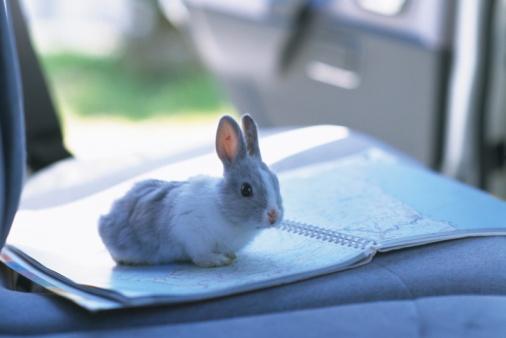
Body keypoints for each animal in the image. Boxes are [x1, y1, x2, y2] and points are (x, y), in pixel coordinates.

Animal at [97, 115, 282, 268]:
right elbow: (200, 256)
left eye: (275, 181)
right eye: (246, 189)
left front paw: (230, 256)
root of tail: (105, 219)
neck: (222, 208)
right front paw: (218, 260)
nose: (274, 215)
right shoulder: (192, 234)